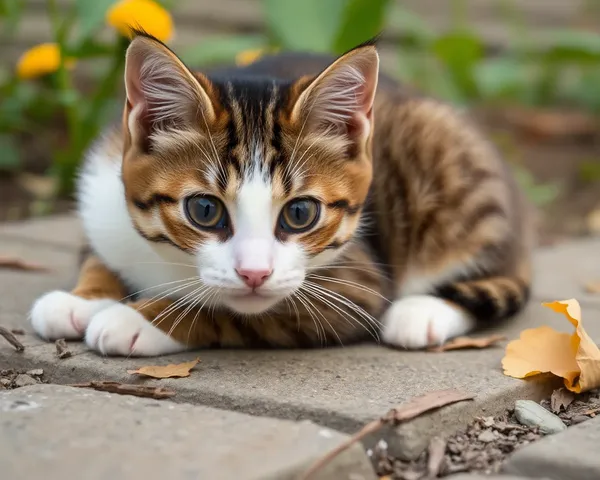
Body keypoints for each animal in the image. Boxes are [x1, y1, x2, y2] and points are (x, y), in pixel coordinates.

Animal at [30, 31, 532, 356]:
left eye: (300, 214)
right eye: (204, 209)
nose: (255, 273)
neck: (170, 264)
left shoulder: (359, 285)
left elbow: (241, 312)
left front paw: (139, 318)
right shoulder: (103, 192)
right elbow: (98, 255)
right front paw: (83, 298)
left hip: (451, 170)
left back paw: (420, 312)